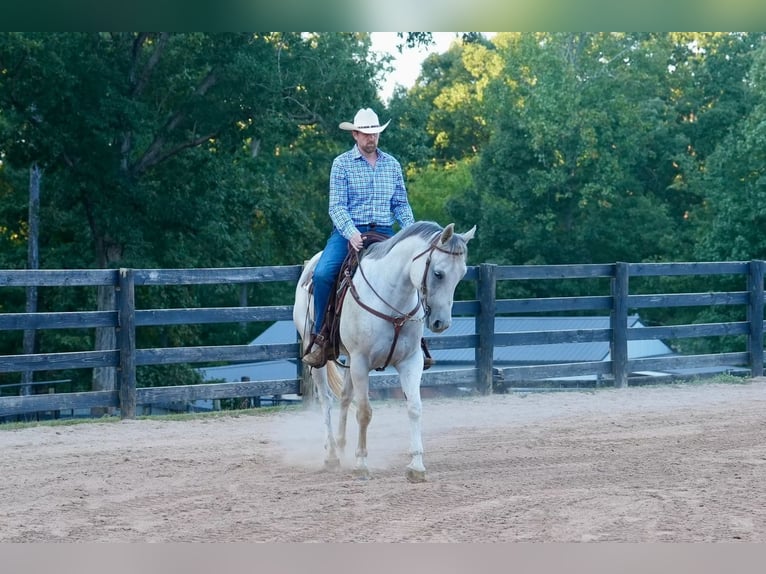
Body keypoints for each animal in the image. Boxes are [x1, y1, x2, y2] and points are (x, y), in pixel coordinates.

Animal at [293, 221, 476, 482]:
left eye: (461, 274)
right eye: (438, 273)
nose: (442, 323)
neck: (392, 300)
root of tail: (309, 267)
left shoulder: (410, 362)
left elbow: (414, 407)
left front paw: (416, 466)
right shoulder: (361, 362)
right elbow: (364, 412)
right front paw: (361, 464)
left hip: (349, 359)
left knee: (345, 398)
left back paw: (341, 445)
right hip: (318, 356)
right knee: (326, 401)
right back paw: (331, 456)